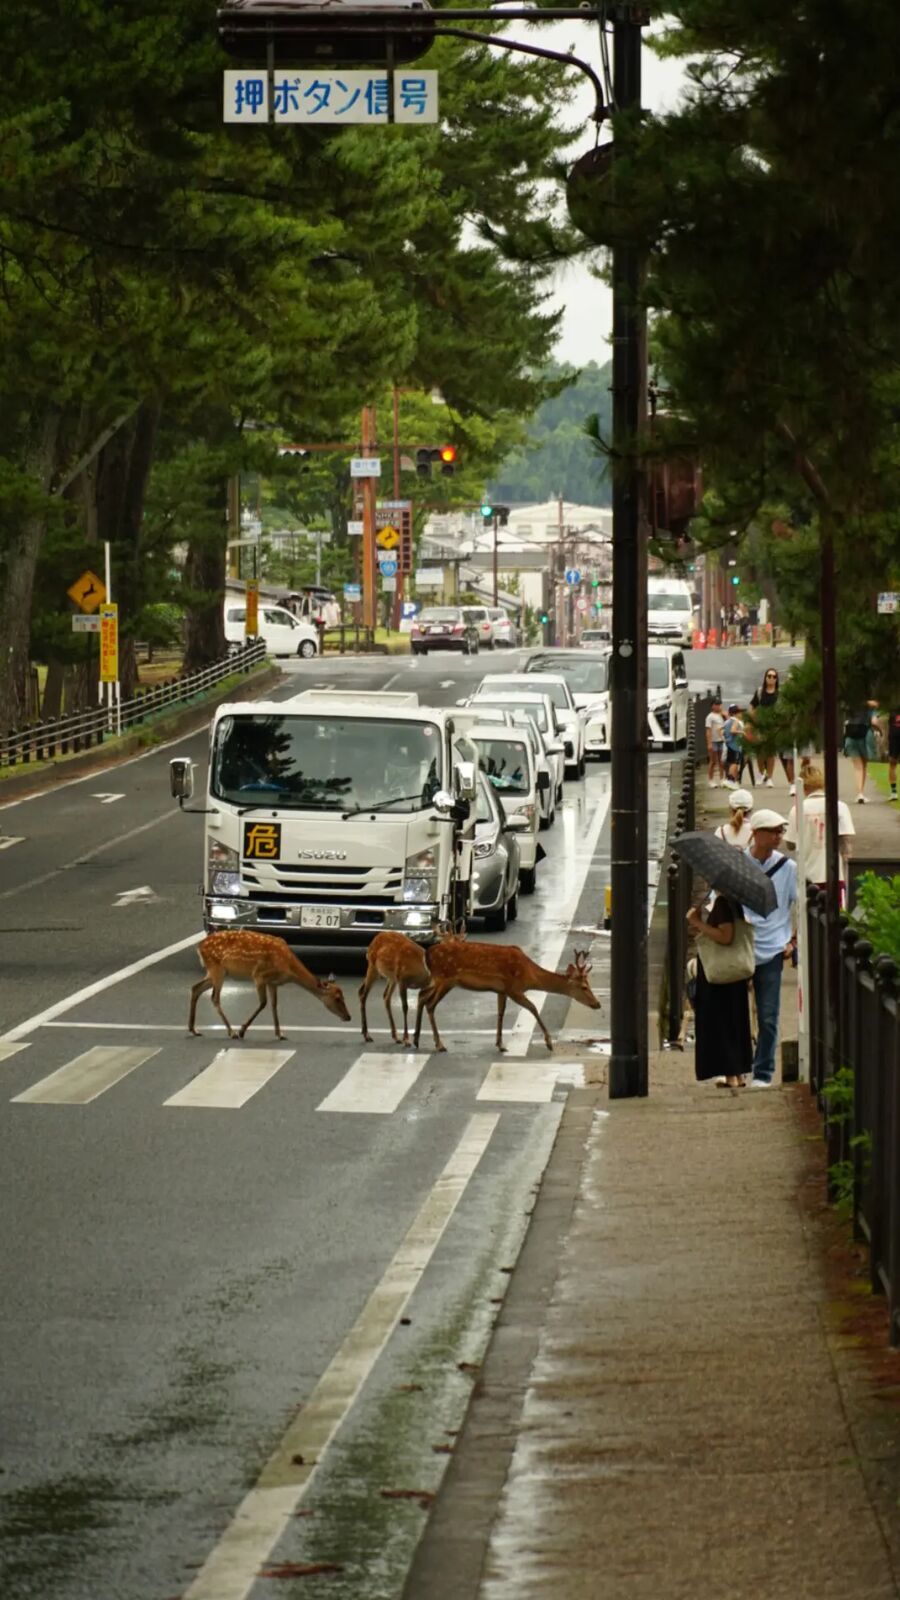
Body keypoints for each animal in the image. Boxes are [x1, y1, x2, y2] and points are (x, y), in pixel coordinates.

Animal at [188, 930, 352, 1040]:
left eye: (343, 996)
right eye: (337, 998)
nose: (348, 1017)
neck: (288, 967)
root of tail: (199, 947)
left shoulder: (273, 983)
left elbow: (274, 1005)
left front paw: (280, 1034)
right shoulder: (259, 976)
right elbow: (263, 1003)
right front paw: (242, 1030)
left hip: (215, 972)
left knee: (196, 988)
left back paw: (193, 1029)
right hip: (217, 968)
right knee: (214, 998)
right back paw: (231, 1032)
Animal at [413, 936, 600, 1054]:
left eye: (589, 984)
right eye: (584, 987)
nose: (597, 1004)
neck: (529, 974)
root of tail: (427, 954)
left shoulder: (501, 990)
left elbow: (501, 1013)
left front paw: (500, 1044)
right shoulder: (514, 988)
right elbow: (533, 1008)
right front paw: (549, 1043)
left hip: (441, 981)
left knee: (422, 995)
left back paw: (415, 1040)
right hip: (444, 978)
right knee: (430, 1004)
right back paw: (439, 1045)